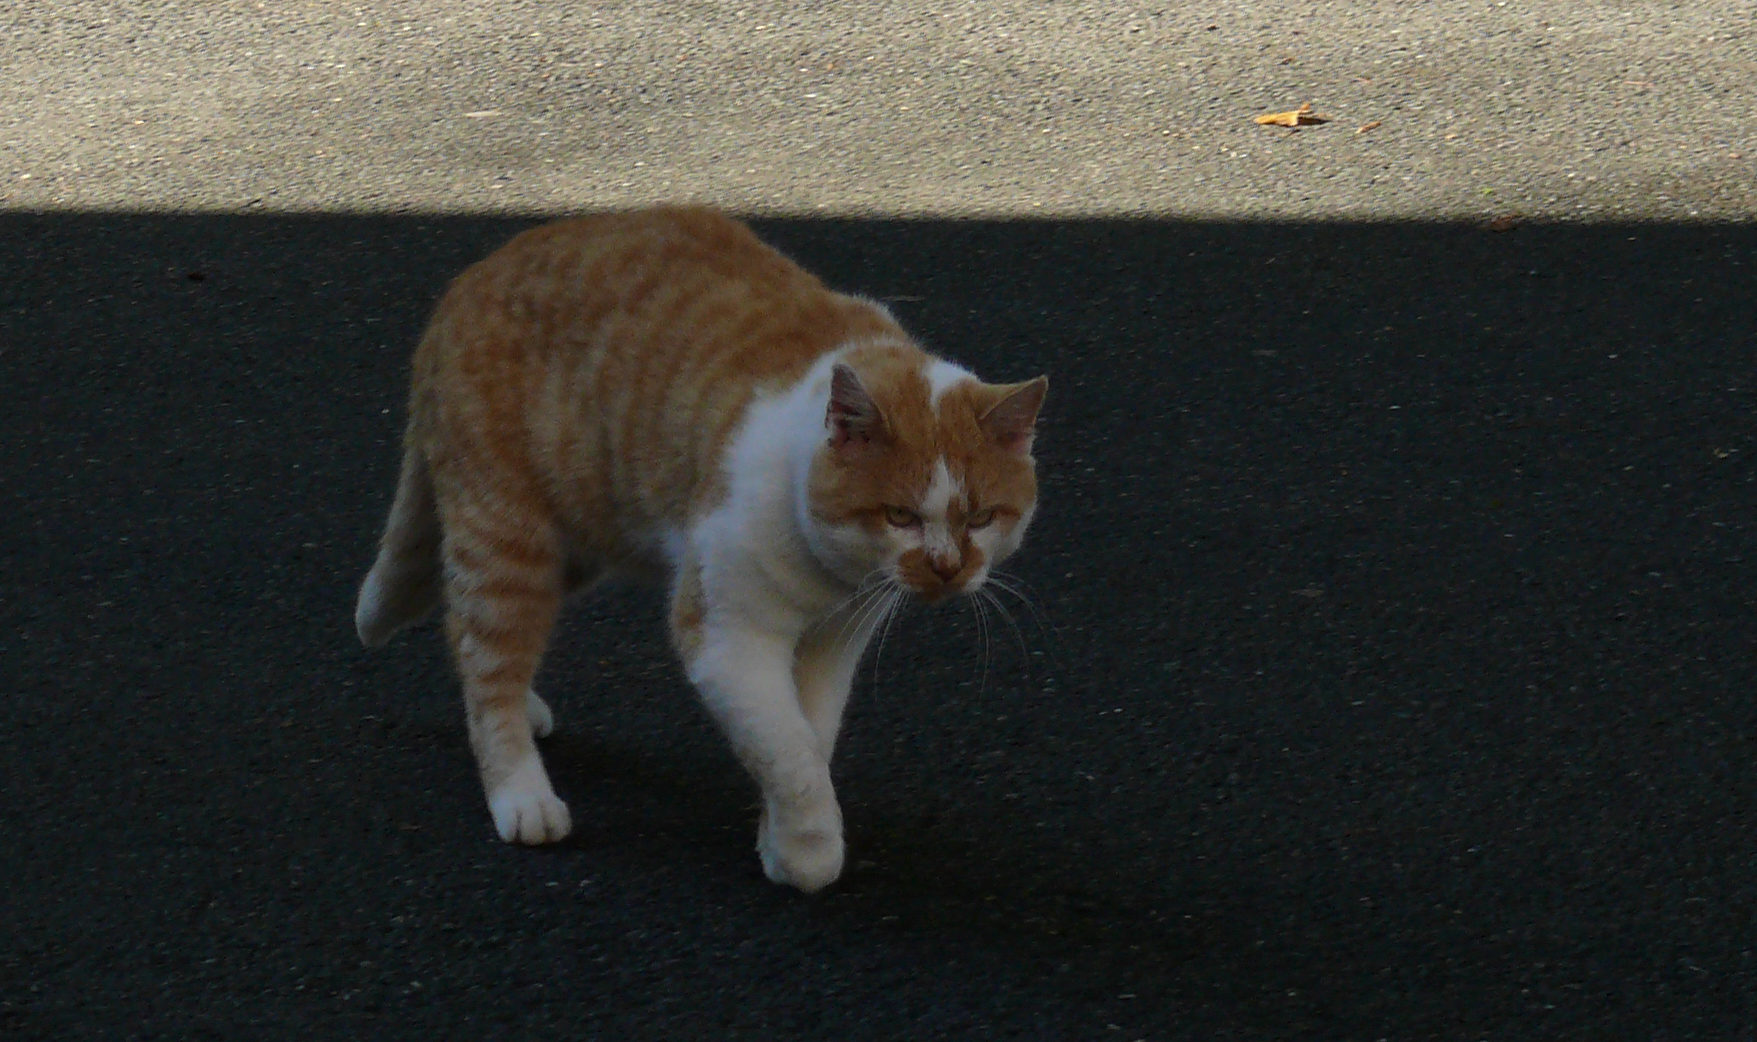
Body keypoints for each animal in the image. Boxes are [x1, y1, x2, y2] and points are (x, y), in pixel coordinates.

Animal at [351, 207, 1047, 889]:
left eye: (981, 518)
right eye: (899, 516)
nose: (946, 568)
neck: (827, 574)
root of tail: (464, 283)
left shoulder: (832, 644)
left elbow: (808, 737)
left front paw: (778, 839)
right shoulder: (727, 637)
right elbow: (788, 750)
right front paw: (809, 852)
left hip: (576, 543)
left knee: (464, 626)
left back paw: (525, 705)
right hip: (513, 543)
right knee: (488, 655)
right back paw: (520, 790)